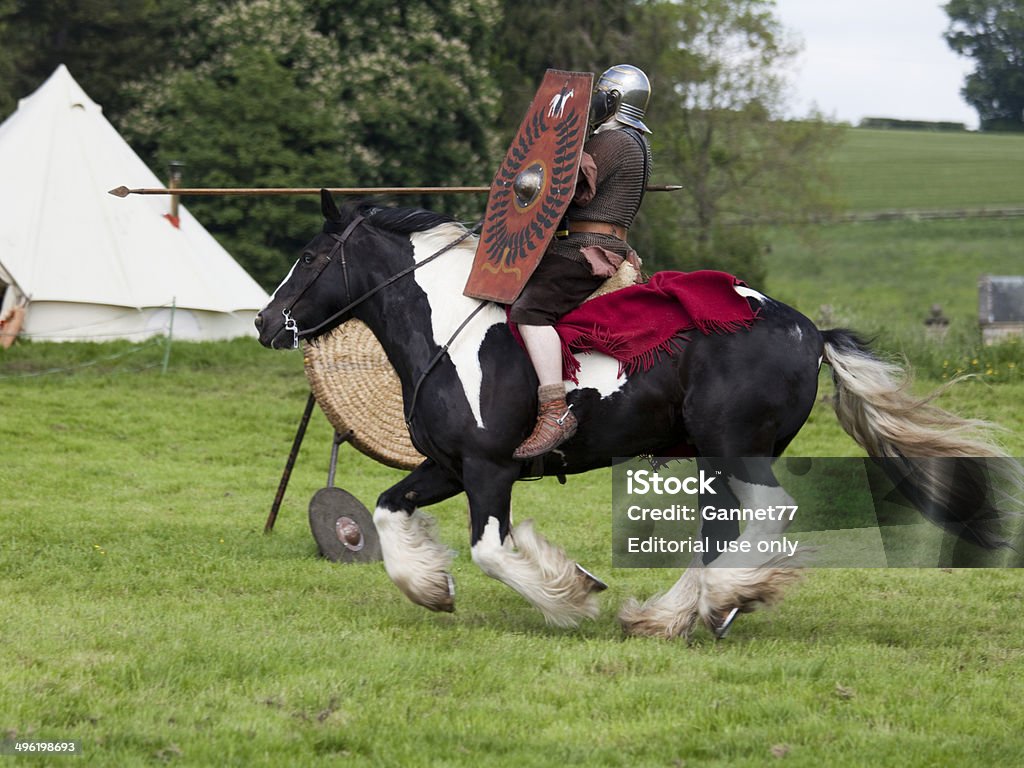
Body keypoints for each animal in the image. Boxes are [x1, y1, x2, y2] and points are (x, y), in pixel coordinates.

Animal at [253, 191, 1015, 638]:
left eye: (312, 255)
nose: (265, 322)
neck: (454, 336)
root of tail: (809, 331)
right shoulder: (448, 467)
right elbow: (387, 512)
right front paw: (431, 589)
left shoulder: (490, 469)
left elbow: (492, 550)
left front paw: (570, 595)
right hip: (713, 459)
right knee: (721, 532)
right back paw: (672, 615)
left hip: (735, 448)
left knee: (764, 519)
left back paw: (722, 597)